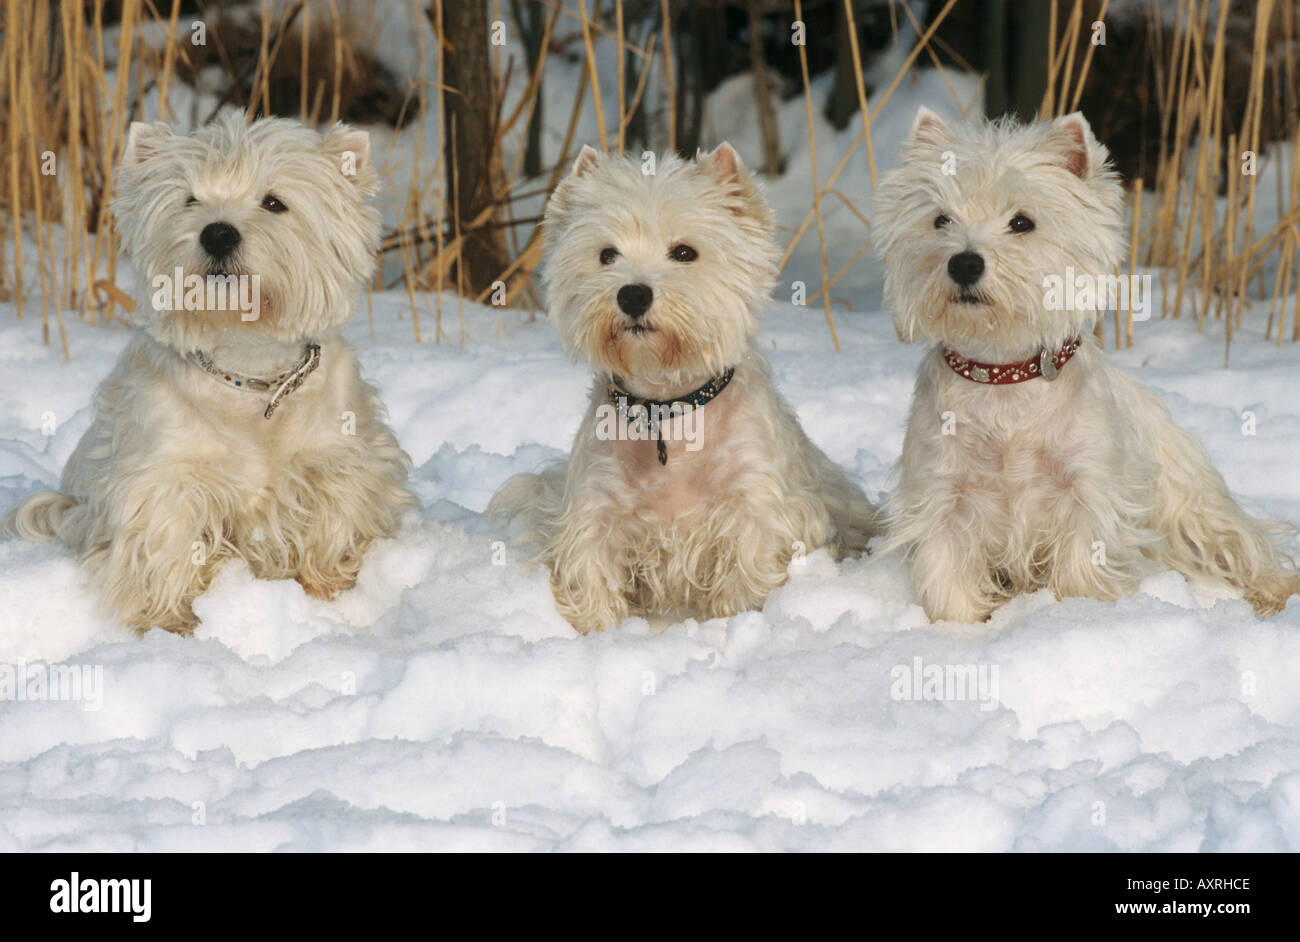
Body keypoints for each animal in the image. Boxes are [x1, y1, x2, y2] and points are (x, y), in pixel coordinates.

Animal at [3, 113, 410, 636]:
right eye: (189, 200)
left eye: (274, 202)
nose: (218, 234)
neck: (248, 368)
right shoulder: (165, 480)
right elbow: (167, 552)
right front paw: (170, 623)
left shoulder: (339, 460)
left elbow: (333, 527)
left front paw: (328, 590)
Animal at [488, 144, 883, 631]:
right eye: (606, 255)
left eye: (684, 252)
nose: (633, 295)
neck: (667, 408)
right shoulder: (594, 511)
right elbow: (591, 577)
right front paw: (598, 632)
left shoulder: (757, 509)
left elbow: (744, 579)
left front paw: (730, 622)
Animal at [873, 106, 1300, 621]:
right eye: (940, 220)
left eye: (1022, 222)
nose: (964, 264)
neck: (1004, 376)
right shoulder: (943, 495)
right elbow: (947, 574)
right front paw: (962, 626)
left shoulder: (1088, 490)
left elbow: (1083, 561)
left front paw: (1077, 614)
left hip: (1189, 499)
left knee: (1239, 543)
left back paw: (1275, 591)